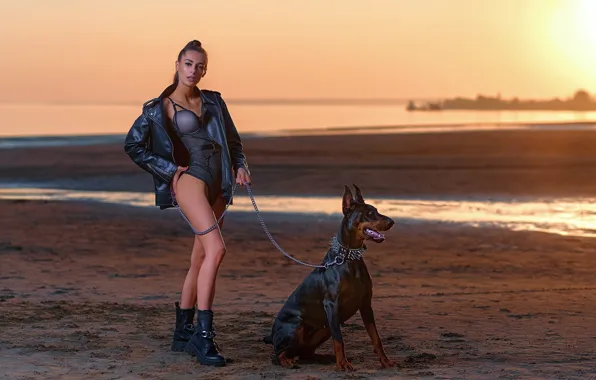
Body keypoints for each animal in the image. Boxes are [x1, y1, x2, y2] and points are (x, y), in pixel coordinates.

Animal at [264, 184, 396, 372]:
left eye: (376, 210)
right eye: (369, 213)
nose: (392, 222)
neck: (349, 258)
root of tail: (271, 335)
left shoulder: (365, 303)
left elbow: (375, 337)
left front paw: (385, 361)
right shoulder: (331, 304)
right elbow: (339, 340)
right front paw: (343, 364)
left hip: (325, 327)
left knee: (304, 352)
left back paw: (324, 357)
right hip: (298, 324)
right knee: (277, 354)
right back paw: (287, 361)